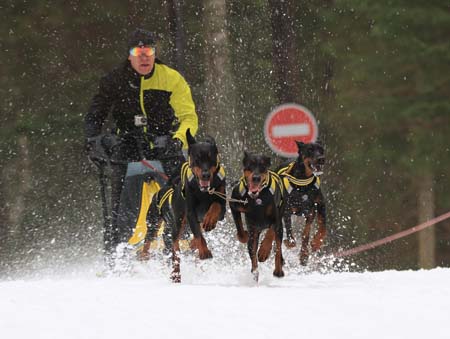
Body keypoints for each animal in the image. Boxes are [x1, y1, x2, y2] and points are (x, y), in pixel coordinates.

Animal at [142, 129, 225, 282]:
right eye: (196, 158)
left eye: (211, 158)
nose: (205, 175)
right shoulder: (190, 212)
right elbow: (198, 235)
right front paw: (204, 251)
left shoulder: (221, 206)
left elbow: (215, 206)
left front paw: (209, 221)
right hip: (158, 224)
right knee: (159, 245)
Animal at [230, 152, 284, 282]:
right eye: (250, 165)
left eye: (263, 167)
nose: (256, 178)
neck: (257, 199)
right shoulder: (234, 204)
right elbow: (239, 227)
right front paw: (243, 236)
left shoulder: (276, 217)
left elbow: (271, 232)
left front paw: (264, 251)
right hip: (255, 232)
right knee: (253, 250)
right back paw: (254, 271)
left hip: (280, 228)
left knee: (278, 248)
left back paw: (278, 270)